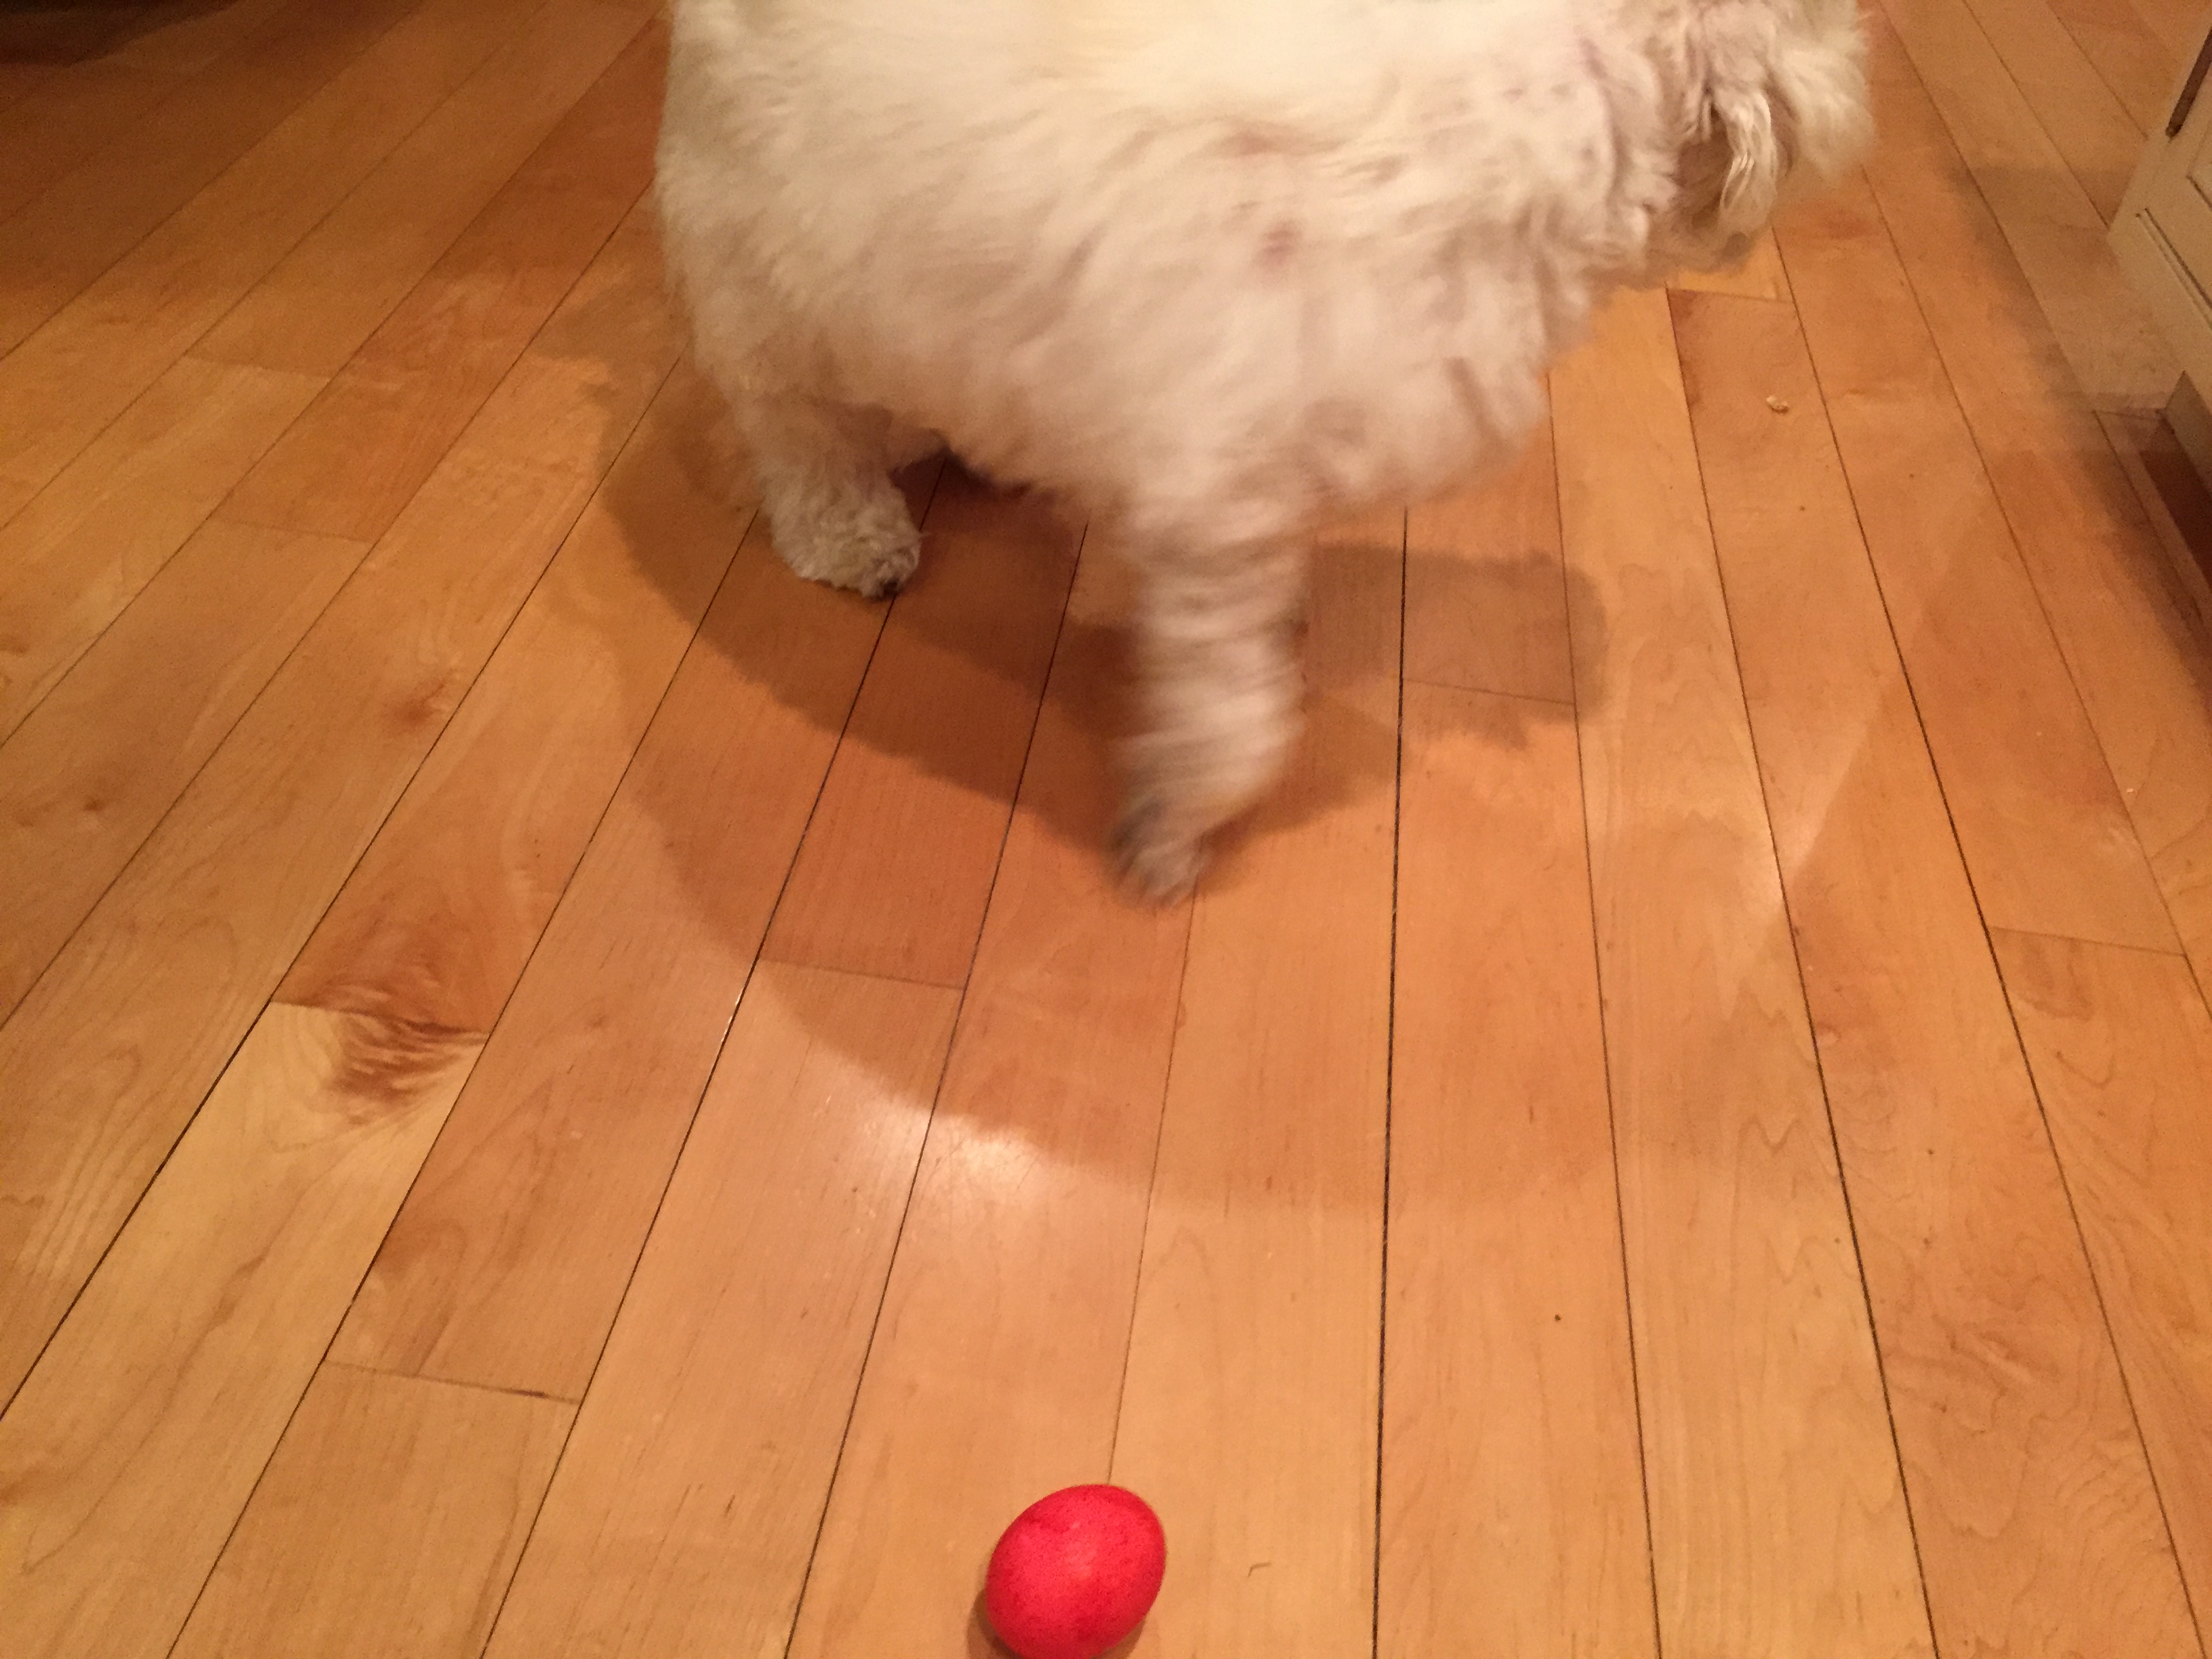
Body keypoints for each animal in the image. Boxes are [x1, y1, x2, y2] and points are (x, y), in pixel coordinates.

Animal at [654, 0, 1871, 898]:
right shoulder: (1215, 506)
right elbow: (1233, 718)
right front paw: (1172, 823)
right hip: (771, 285)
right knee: (799, 437)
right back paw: (853, 535)